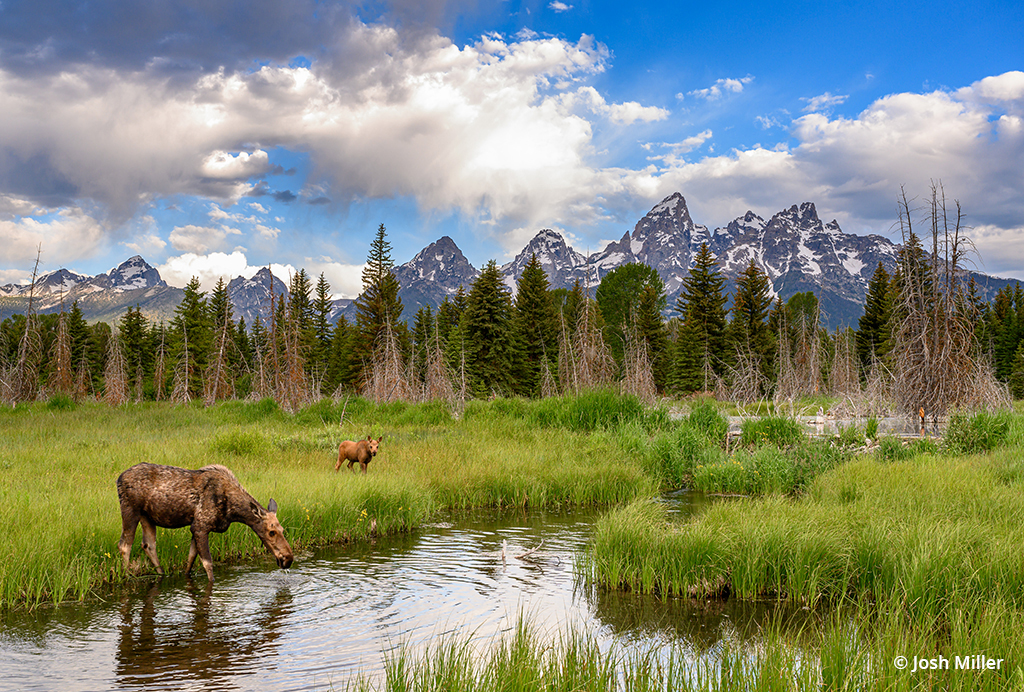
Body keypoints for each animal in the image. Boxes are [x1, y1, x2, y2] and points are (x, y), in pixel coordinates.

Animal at [116, 462, 294, 581]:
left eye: (283, 530)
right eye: (271, 532)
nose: (288, 559)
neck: (233, 511)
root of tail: (119, 478)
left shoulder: (196, 528)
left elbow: (190, 559)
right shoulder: (201, 526)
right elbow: (208, 564)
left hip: (147, 517)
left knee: (148, 544)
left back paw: (161, 574)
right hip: (130, 510)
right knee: (125, 544)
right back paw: (126, 576)